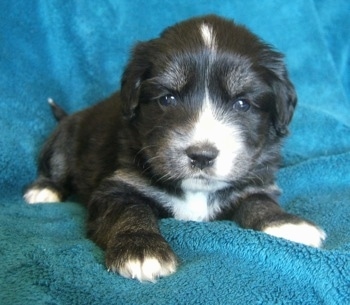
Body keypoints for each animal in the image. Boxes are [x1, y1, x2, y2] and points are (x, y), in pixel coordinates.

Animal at [23, 14, 326, 280]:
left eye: (242, 103)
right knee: (54, 165)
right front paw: (141, 250)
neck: (196, 192)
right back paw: (44, 190)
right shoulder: (117, 185)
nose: (202, 156)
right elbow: (130, 210)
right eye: (167, 98)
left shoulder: (253, 182)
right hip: (63, 140)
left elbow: (259, 201)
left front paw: (286, 223)